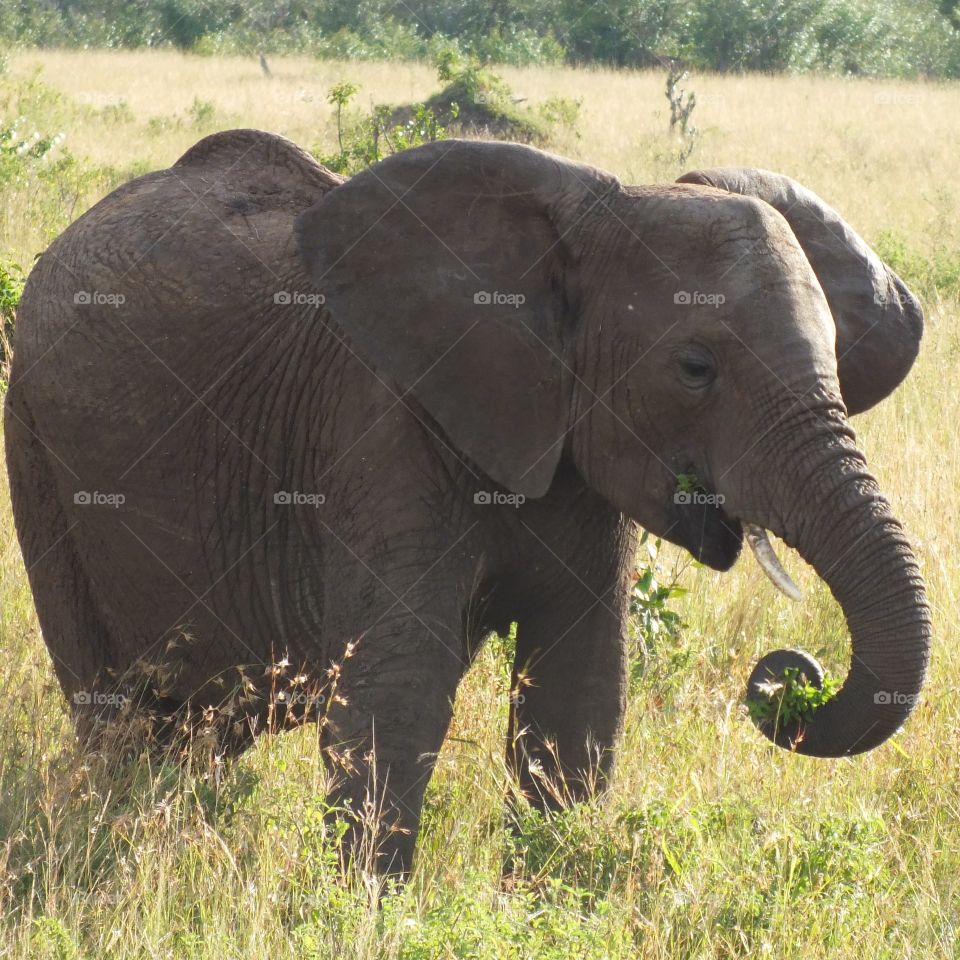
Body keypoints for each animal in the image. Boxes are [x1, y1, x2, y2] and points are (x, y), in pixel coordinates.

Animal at [5, 129, 930, 875]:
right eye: (695, 368)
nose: (787, 676)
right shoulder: (379, 429)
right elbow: (396, 695)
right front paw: (367, 914)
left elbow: (578, 697)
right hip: (38, 448)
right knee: (116, 717)